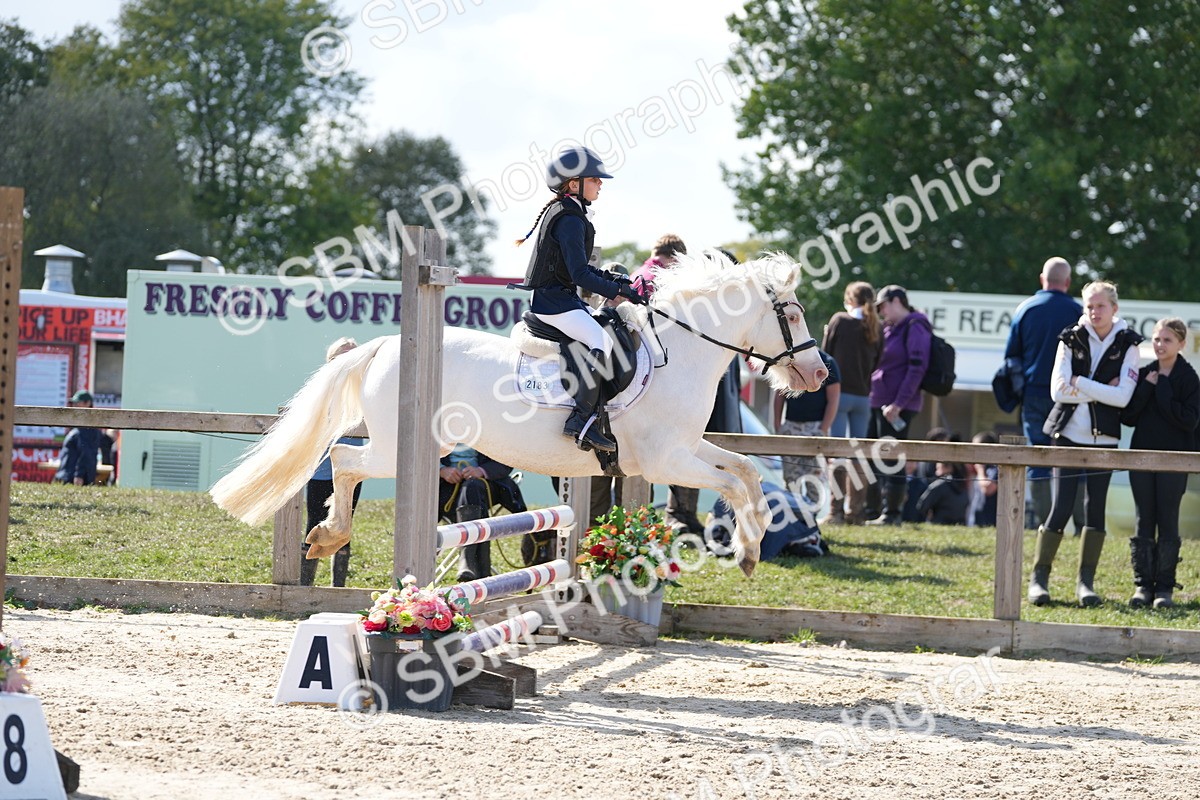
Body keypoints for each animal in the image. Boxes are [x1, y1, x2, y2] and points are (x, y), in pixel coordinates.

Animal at [210, 252, 829, 577]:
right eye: (795, 315)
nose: (819, 373)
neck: (679, 349)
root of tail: (386, 344)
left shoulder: (683, 448)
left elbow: (744, 472)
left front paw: (752, 545)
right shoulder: (663, 462)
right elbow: (735, 483)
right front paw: (747, 551)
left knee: (343, 458)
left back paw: (326, 536)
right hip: (403, 448)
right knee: (343, 457)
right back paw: (327, 535)